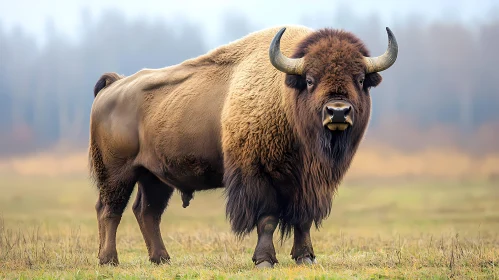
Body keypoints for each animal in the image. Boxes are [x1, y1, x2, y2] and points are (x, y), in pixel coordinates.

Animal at [87, 24, 398, 266]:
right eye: (310, 80)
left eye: (360, 79)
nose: (338, 112)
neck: (284, 95)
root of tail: (113, 86)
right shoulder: (258, 175)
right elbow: (267, 219)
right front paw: (264, 260)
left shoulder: (308, 184)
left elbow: (303, 219)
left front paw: (305, 257)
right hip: (117, 173)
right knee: (109, 210)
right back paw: (109, 260)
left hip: (154, 177)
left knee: (147, 212)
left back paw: (161, 258)